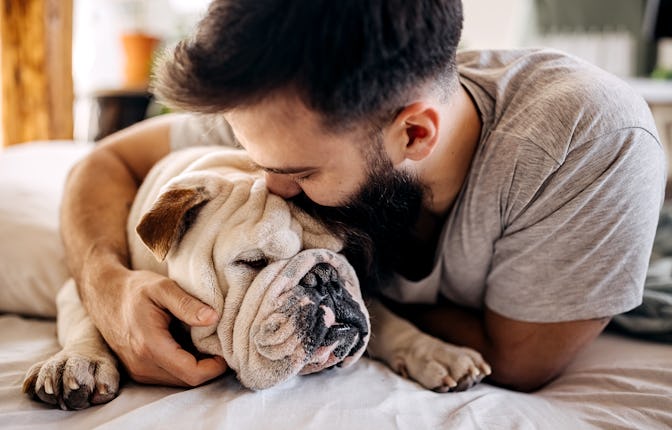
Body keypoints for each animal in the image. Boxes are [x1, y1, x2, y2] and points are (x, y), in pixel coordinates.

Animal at [23, 147, 490, 410]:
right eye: (252, 262)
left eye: (347, 255)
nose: (324, 275)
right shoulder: (79, 285)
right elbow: (91, 316)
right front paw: (77, 363)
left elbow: (390, 322)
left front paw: (438, 353)